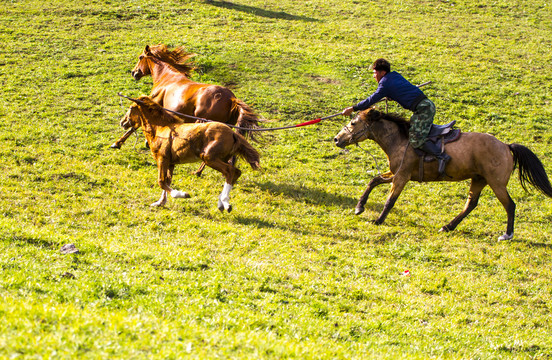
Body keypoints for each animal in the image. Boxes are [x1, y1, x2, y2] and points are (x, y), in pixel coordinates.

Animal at [111, 43, 260, 174]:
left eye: (140, 57)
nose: (134, 72)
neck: (167, 78)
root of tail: (231, 99)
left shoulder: (151, 104)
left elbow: (134, 125)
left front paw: (117, 143)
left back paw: (198, 171)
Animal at [119, 95, 260, 211]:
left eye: (131, 108)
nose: (123, 122)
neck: (160, 129)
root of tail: (232, 133)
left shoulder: (162, 159)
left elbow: (161, 181)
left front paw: (182, 194)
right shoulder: (170, 163)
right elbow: (167, 181)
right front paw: (160, 202)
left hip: (209, 158)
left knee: (231, 171)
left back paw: (225, 203)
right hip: (221, 159)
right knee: (233, 173)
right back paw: (221, 203)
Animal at [332, 108, 552, 240]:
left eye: (353, 123)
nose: (336, 139)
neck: (401, 139)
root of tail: (506, 146)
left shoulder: (401, 177)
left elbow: (390, 200)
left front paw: (378, 220)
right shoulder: (395, 173)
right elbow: (373, 181)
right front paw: (359, 207)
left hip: (496, 183)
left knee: (510, 205)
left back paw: (507, 234)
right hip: (478, 180)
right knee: (471, 204)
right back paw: (448, 227)